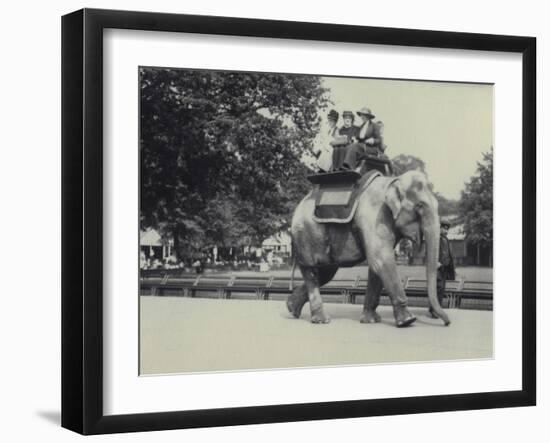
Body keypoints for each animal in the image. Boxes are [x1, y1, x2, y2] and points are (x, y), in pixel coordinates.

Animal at [288, 172, 452, 328]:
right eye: (420, 206)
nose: (447, 323)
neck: (393, 180)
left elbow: (376, 267)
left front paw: (371, 320)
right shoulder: (374, 216)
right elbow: (380, 260)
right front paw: (408, 321)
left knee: (325, 273)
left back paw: (291, 308)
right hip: (306, 233)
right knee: (311, 270)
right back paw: (321, 320)